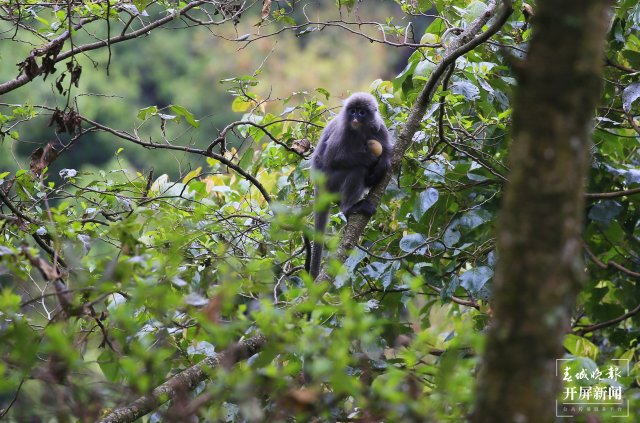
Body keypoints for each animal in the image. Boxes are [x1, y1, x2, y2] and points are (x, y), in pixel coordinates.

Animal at [308, 93, 392, 280]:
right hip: (331, 181)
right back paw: (349, 208)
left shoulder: (380, 129)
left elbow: (388, 152)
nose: (354, 118)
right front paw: (371, 159)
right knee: (357, 169)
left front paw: (383, 162)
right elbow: (332, 158)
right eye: (352, 111)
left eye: (361, 112)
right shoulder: (342, 132)